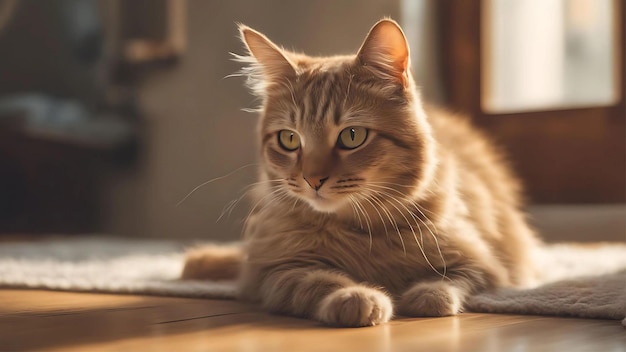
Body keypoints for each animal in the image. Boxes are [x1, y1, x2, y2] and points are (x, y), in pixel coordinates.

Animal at [180, 18, 536, 328]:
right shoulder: (276, 271)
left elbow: (449, 281)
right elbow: (316, 280)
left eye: (352, 136)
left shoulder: (482, 262)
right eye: (289, 139)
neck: (360, 230)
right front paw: (356, 297)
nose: (312, 179)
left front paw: (423, 295)